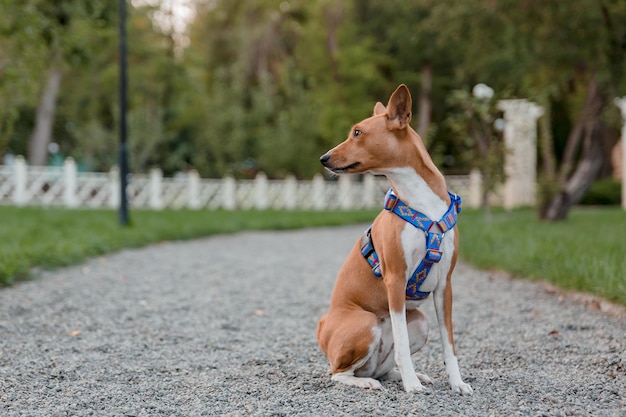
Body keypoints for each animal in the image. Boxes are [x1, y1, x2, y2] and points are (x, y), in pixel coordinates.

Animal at [314, 83, 470, 394]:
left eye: (358, 132)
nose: (323, 158)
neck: (422, 203)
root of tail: (324, 326)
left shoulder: (444, 286)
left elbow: (449, 345)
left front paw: (456, 383)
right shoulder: (396, 279)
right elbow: (401, 345)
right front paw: (412, 385)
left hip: (420, 322)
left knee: (382, 368)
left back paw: (404, 375)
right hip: (366, 322)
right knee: (339, 373)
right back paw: (369, 382)